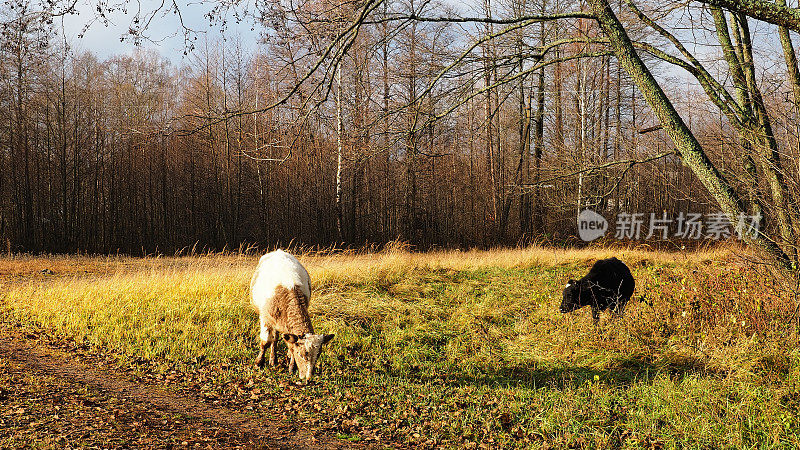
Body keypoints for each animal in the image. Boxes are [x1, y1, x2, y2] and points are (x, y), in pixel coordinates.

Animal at [252, 250, 336, 384]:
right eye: (301, 355)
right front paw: (258, 363)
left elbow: (290, 346)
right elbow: (265, 342)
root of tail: (278, 251)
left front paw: (291, 367)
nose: (308, 378)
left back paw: (274, 359)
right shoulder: (265, 318)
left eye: (318, 355)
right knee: (273, 338)